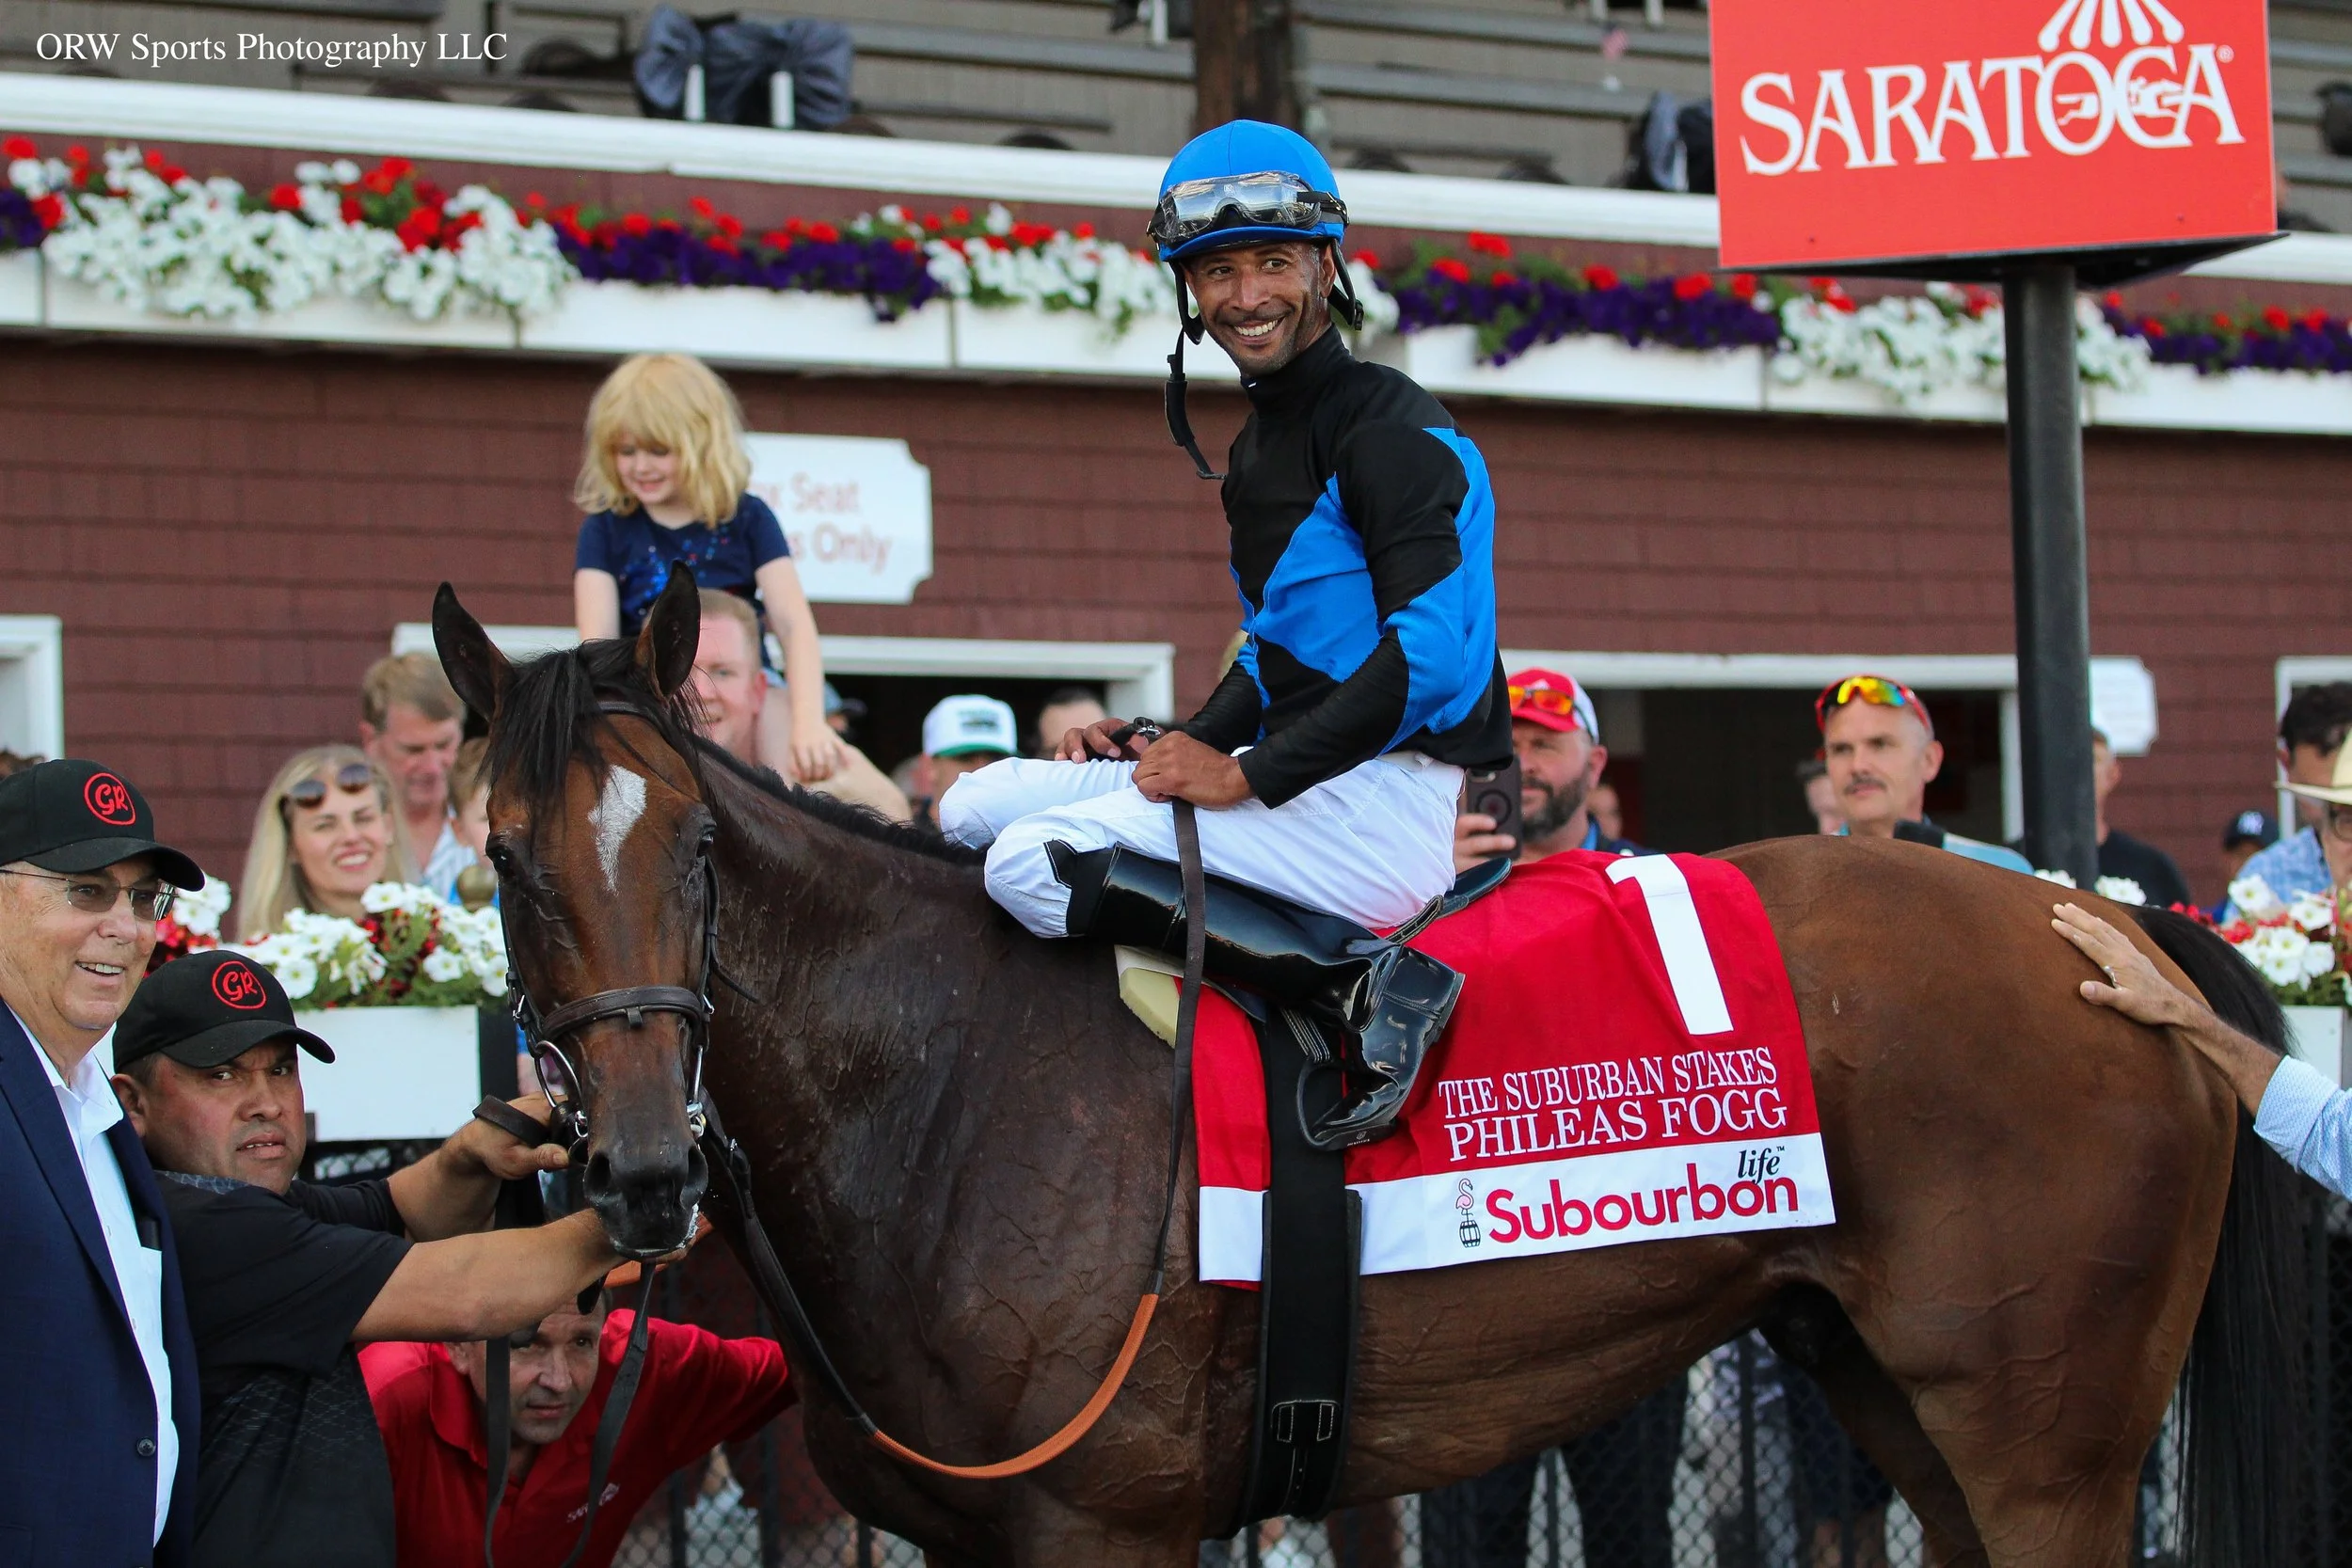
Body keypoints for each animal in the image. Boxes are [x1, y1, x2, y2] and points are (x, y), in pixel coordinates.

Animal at [433, 574, 2303, 1568]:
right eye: (509, 860)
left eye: (692, 848)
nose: (644, 1169)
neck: (940, 1077)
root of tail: (2101, 916)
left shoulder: (1104, 1526)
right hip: (1896, 1391)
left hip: (2048, 1439)